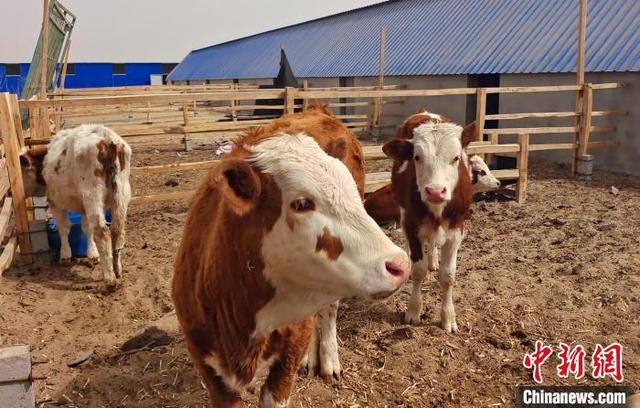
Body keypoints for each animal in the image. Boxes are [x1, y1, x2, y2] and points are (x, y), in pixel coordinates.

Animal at [20, 123, 132, 290]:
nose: (9, 192)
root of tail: (106, 138)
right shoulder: (84, 207)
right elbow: (87, 229)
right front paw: (92, 254)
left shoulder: (55, 202)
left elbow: (64, 228)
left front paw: (65, 255)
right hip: (121, 195)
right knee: (117, 231)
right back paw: (117, 270)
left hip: (93, 194)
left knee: (102, 232)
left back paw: (110, 278)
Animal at [171, 104, 410, 404]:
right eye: (302, 203)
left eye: (353, 196)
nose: (400, 264)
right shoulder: (209, 368)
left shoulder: (286, 360)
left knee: (329, 309)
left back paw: (328, 359)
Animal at [380, 111, 476, 332]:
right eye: (417, 157)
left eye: (456, 158)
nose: (435, 191)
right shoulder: (412, 225)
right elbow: (418, 270)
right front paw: (414, 311)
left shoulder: (457, 229)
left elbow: (448, 276)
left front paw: (448, 317)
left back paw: (433, 260)